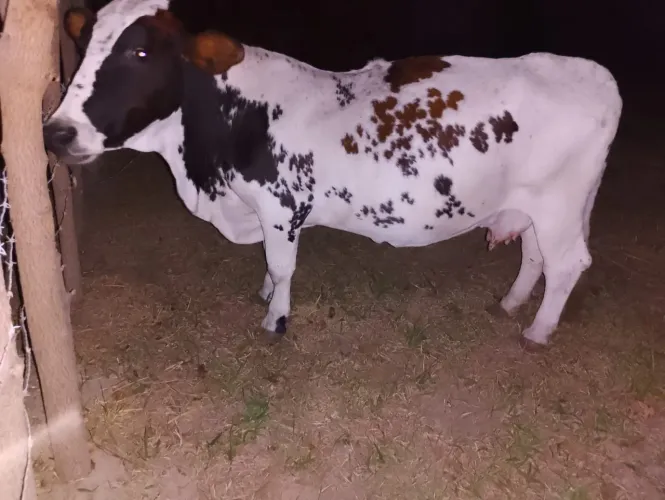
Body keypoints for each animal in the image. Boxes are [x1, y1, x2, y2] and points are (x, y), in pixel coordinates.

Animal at [43, 0, 622, 345]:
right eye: (85, 47)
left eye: (141, 52)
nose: (58, 132)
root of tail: (590, 72)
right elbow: (269, 266)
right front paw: (265, 296)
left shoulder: (281, 209)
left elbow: (282, 268)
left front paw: (276, 318)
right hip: (537, 206)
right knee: (536, 256)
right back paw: (512, 303)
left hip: (558, 205)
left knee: (568, 263)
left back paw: (538, 330)